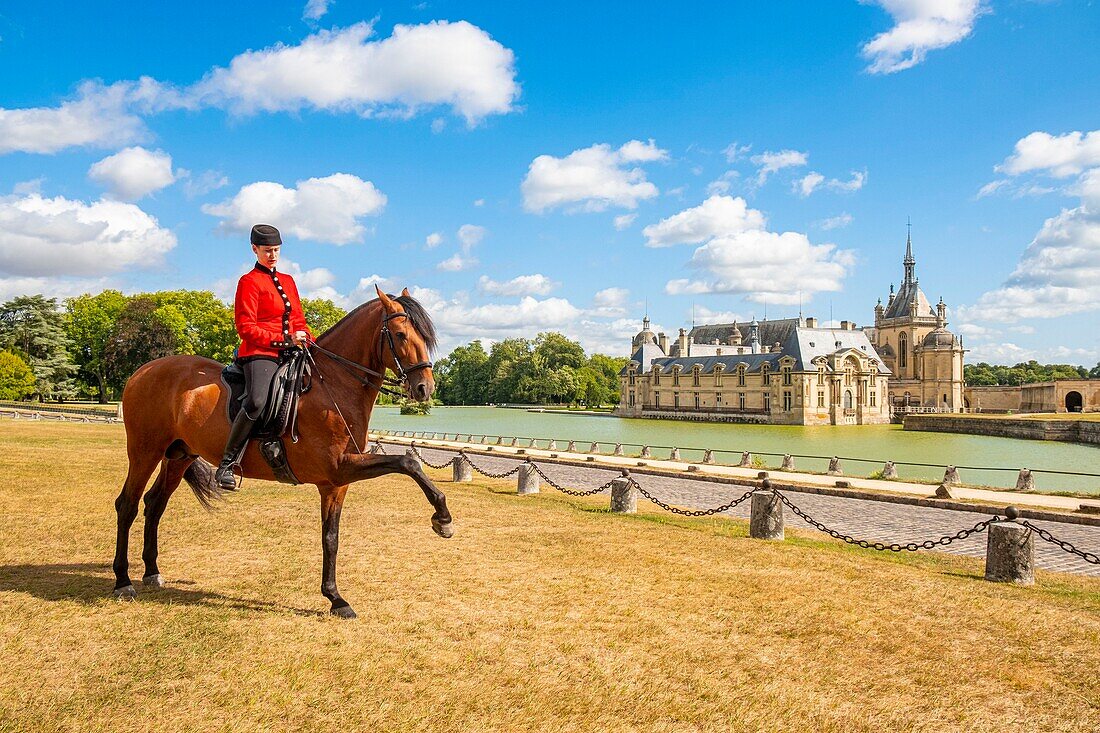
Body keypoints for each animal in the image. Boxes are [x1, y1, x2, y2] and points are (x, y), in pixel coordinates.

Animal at [112, 286, 451, 616]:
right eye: (401, 335)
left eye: (425, 337)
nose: (425, 388)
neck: (334, 385)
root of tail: (143, 370)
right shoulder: (339, 467)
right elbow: (407, 461)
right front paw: (442, 518)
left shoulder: (336, 482)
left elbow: (331, 537)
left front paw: (336, 598)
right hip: (144, 451)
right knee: (127, 505)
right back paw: (123, 582)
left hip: (178, 456)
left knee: (155, 504)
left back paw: (152, 572)